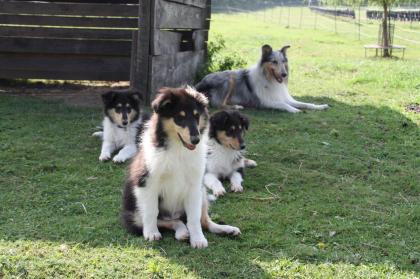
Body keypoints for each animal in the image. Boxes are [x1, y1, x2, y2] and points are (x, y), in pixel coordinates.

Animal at [121, 87, 240, 249]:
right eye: (180, 117)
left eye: (197, 116)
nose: (196, 140)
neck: (178, 149)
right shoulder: (147, 182)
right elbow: (152, 211)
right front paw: (151, 233)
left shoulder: (194, 186)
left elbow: (194, 218)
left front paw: (198, 239)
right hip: (135, 215)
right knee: (168, 221)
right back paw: (181, 231)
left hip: (202, 193)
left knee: (203, 221)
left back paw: (226, 229)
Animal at [195, 44, 330, 113]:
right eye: (274, 62)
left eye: (283, 61)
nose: (284, 74)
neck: (269, 78)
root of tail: (199, 84)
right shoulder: (266, 101)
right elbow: (283, 104)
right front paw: (295, 110)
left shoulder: (283, 97)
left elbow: (306, 103)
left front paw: (321, 106)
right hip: (229, 79)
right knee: (218, 104)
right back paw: (236, 107)